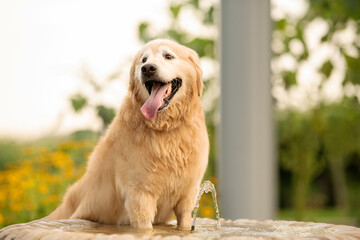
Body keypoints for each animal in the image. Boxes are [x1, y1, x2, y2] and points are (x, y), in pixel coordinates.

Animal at [49, 39, 210, 229]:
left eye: (168, 56)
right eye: (143, 60)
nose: (147, 68)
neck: (165, 129)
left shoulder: (188, 195)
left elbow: (184, 224)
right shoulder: (139, 196)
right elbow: (145, 227)